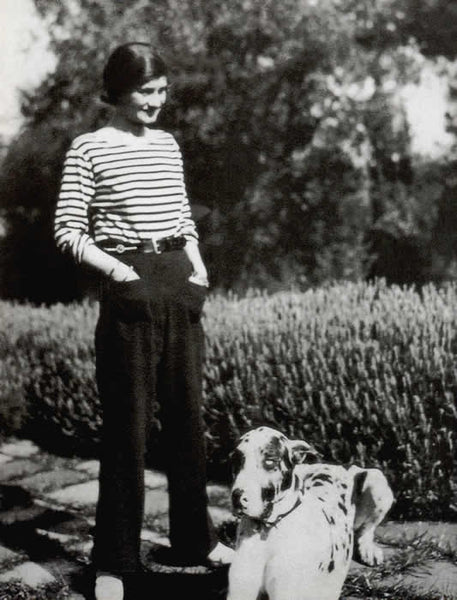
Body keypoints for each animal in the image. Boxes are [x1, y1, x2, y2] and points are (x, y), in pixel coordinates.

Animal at [227, 426, 392, 600]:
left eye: (270, 460)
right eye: (235, 461)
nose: (237, 496)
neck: (269, 529)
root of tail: (338, 465)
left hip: (377, 479)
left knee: (366, 530)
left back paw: (369, 550)